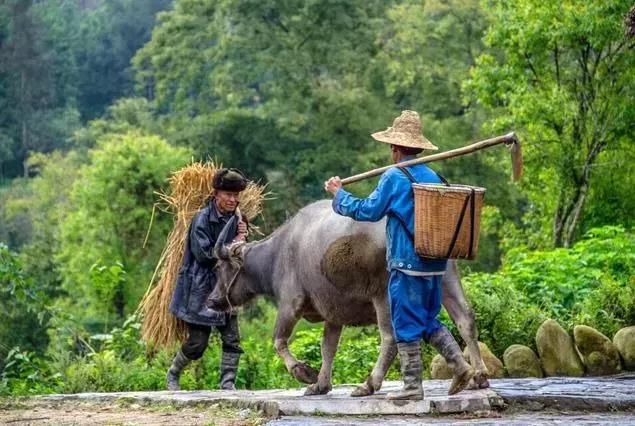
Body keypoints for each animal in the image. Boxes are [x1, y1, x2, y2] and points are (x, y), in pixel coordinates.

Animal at [206, 200, 490, 396]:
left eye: (219, 267)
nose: (211, 301)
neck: (276, 255)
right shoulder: (334, 312)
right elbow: (328, 347)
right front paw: (320, 384)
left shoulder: (290, 303)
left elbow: (278, 341)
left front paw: (305, 373)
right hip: (447, 279)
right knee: (465, 319)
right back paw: (475, 375)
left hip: (385, 295)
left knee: (391, 337)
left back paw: (369, 384)